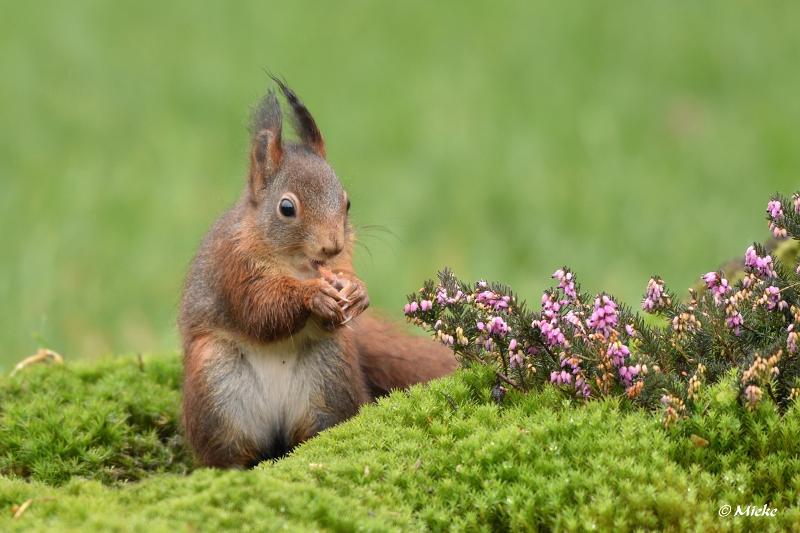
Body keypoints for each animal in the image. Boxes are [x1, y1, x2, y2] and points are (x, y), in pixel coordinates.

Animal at [180, 79, 456, 466]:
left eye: (348, 202)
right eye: (286, 208)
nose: (332, 246)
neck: (297, 266)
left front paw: (357, 291)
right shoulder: (232, 267)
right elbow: (259, 310)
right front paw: (312, 296)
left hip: (329, 378)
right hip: (216, 389)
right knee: (227, 454)